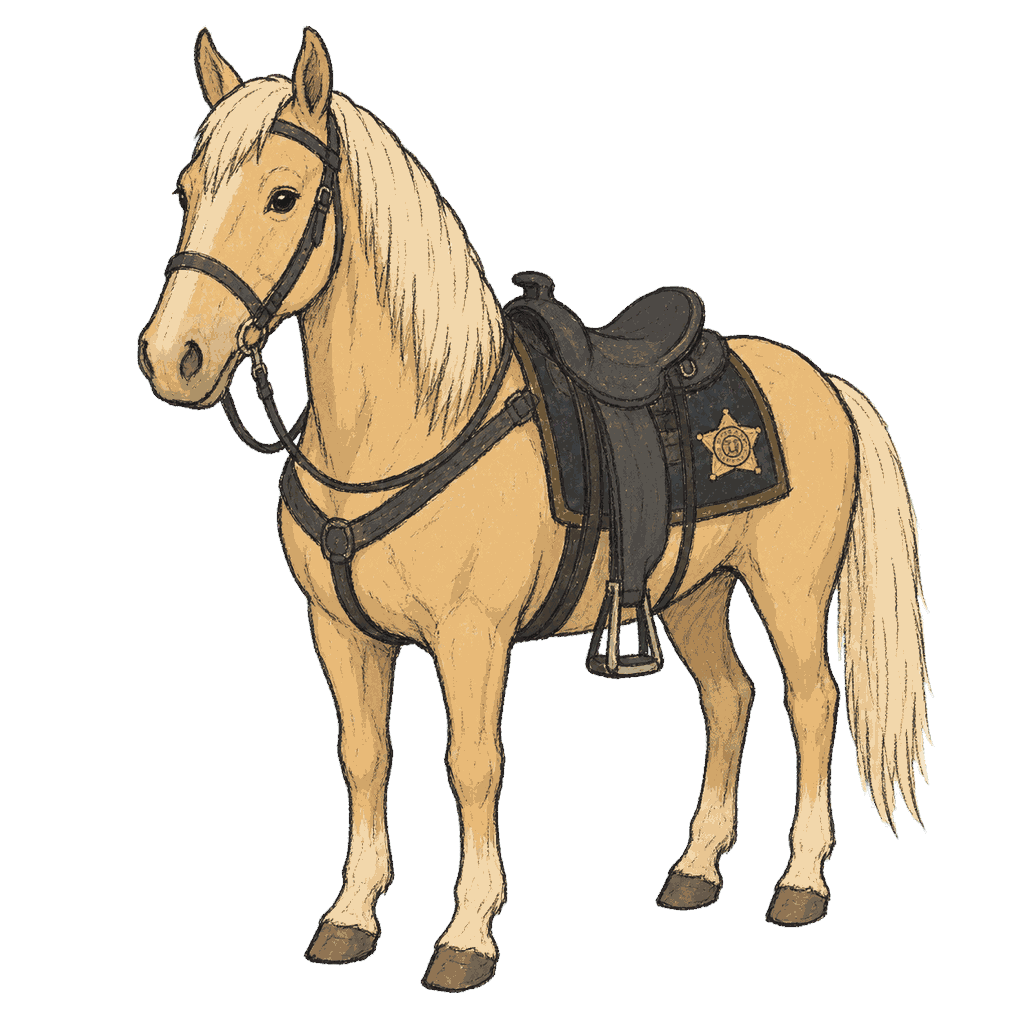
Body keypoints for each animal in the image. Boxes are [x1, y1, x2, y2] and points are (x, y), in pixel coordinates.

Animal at [138, 26, 931, 991]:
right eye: (187, 192)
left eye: (284, 197)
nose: (173, 355)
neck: (411, 423)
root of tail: (822, 382)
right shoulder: (339, 630)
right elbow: (364, 758)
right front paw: (350, 916)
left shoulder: (472, 635)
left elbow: (473, 765)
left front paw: (467, 935)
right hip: (696, 591)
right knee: (732, 697)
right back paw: (696, 870)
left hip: (788, 588)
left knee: (812, 701)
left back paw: (801, 883)